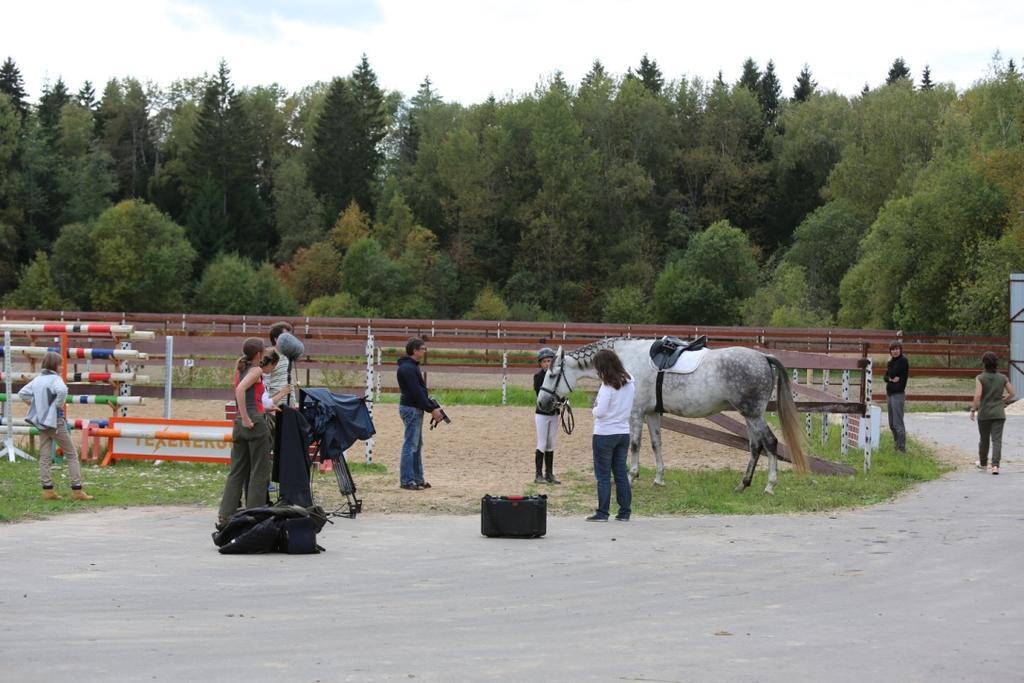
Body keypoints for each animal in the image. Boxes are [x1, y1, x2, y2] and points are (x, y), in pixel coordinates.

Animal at [536, 339, 806, 493]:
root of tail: (763, 357)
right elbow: (657, 444)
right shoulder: (652, 413)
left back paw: (770, 485)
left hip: (753, 413)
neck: (625, 360)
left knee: (769, 443)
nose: (542, 403)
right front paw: (659, 479)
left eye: (552, 375)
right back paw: (743, 484)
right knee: (755, 446)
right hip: (749, 415)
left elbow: (635, 445)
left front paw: (631, 477)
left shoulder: (636, 413)